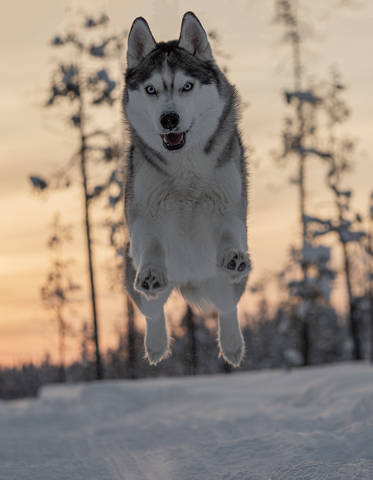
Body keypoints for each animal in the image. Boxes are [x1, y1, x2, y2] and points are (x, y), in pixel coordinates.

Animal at [123, 12, 250, 368]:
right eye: (151, 89)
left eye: (186, 86)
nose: (169, 119)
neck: (185, 167)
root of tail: (190, 278)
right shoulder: (143, 216)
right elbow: (150, 245)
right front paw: (152, 271)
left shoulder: (229, 205)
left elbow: (230, 232)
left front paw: (233, 254)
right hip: (140, 288)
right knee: (153, 311)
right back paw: (155, 345)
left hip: (223, 284)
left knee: (227, 306)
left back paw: (232, 346)